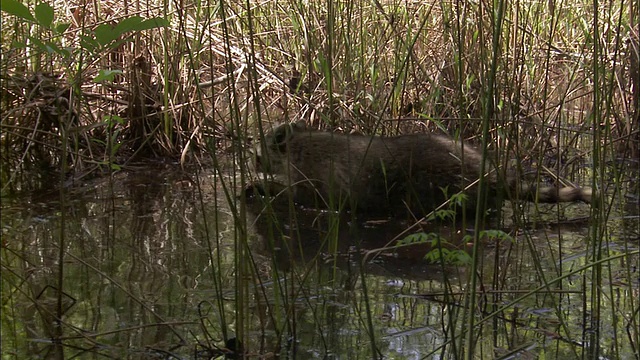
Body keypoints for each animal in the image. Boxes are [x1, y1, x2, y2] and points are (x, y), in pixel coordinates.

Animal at [252, 121, 592, 217]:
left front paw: (266, 187)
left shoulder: (320, 173)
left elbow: (308, 198)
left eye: (257, 155)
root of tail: (490, 174)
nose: (253, 163)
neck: (298, 143)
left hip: (441, 182)